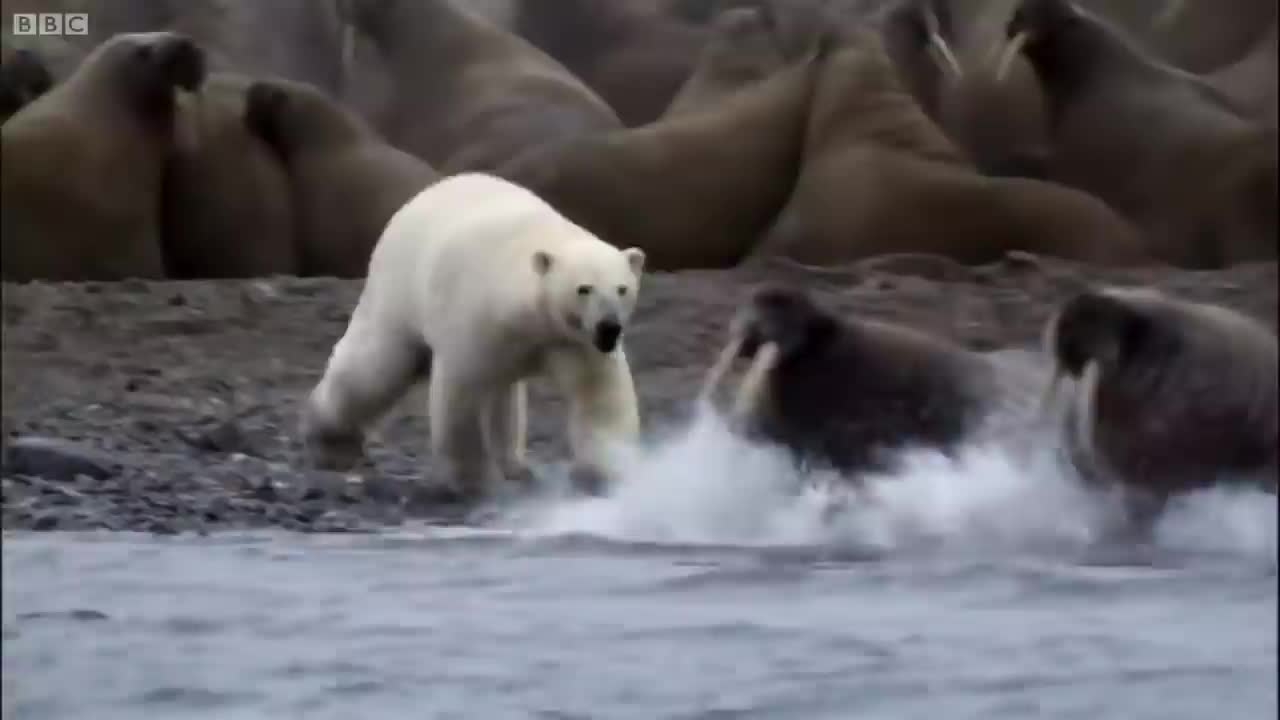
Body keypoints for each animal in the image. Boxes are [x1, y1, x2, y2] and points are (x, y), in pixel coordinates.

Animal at [295, 171, 645, 497]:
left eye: (622, 288)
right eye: (583, 288)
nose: (609, 327)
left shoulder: (571, 340)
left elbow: (597, 393)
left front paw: (604, 473)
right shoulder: (477, 316)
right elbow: (463, 396)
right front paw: (475, 482)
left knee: (503, 395)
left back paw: (516, 467)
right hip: (399, 293)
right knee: (376, 367)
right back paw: (332, 445)